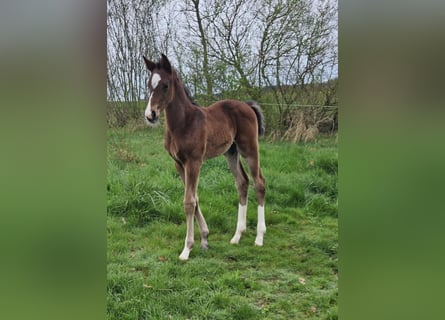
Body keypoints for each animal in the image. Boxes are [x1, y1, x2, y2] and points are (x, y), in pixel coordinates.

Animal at [144, 54, 266, 260]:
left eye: (165, 85)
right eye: (148, 85)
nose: (150, 115)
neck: (183, 123)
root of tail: (247, 105)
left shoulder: (194, 162)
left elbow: (189, 202)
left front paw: (187, 248)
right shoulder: (179, 164)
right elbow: (195, 198)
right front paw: (205, 239)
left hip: (249, 148)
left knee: (259, 183)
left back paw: (259, 237)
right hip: (231, 152)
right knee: (242, 182)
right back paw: (237, 235)